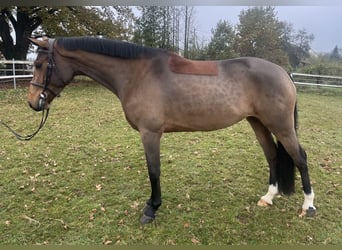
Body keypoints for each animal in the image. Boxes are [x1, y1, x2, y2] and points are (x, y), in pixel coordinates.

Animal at [28, 36, 316, 224]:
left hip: (281, 126)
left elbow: (153, 171)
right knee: (273, 156)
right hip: (258, 122)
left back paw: (309, 205)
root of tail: (283, 72)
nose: (33, 102)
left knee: (300, 158)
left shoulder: (150, 133)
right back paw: (268, 197)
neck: (138, 73)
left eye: (39, 65)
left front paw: (151, 209)